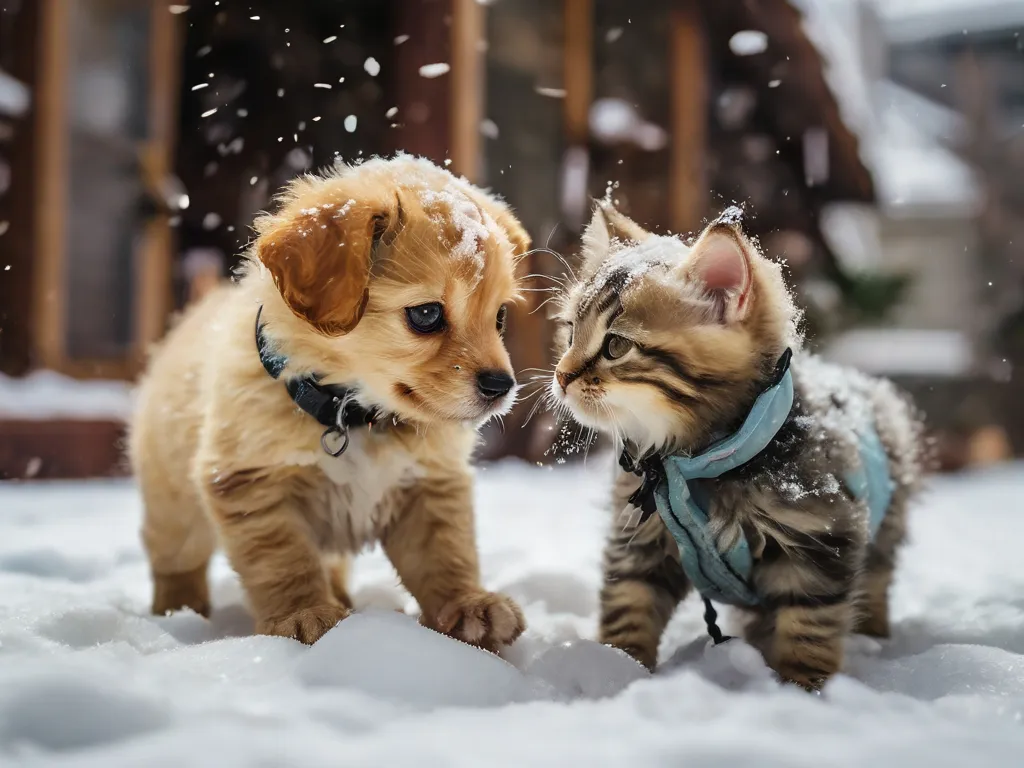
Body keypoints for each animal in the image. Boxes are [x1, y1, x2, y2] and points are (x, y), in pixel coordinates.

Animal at [130, 156, 528, 651]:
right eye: (426, 314)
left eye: (500, 317)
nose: (501, 385)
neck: (353, 416)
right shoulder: (252, 482)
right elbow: (285, 560)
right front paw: (304, 613)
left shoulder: (428, 485)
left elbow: (446, 553)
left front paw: (469, 605)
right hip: (174, 505)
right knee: (176, 559)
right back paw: (178, 612)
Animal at [552, 202, 929, 692]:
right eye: (570, 333)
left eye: (615, 346)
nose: (561, 376)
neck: (692, 464)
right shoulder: (639, 543)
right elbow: (628, 607)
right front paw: (617, 670)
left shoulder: (819, 542)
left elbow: (808, 630)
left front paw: (802, 690)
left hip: (884, 527)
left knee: (875, 583)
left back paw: (873, 638)